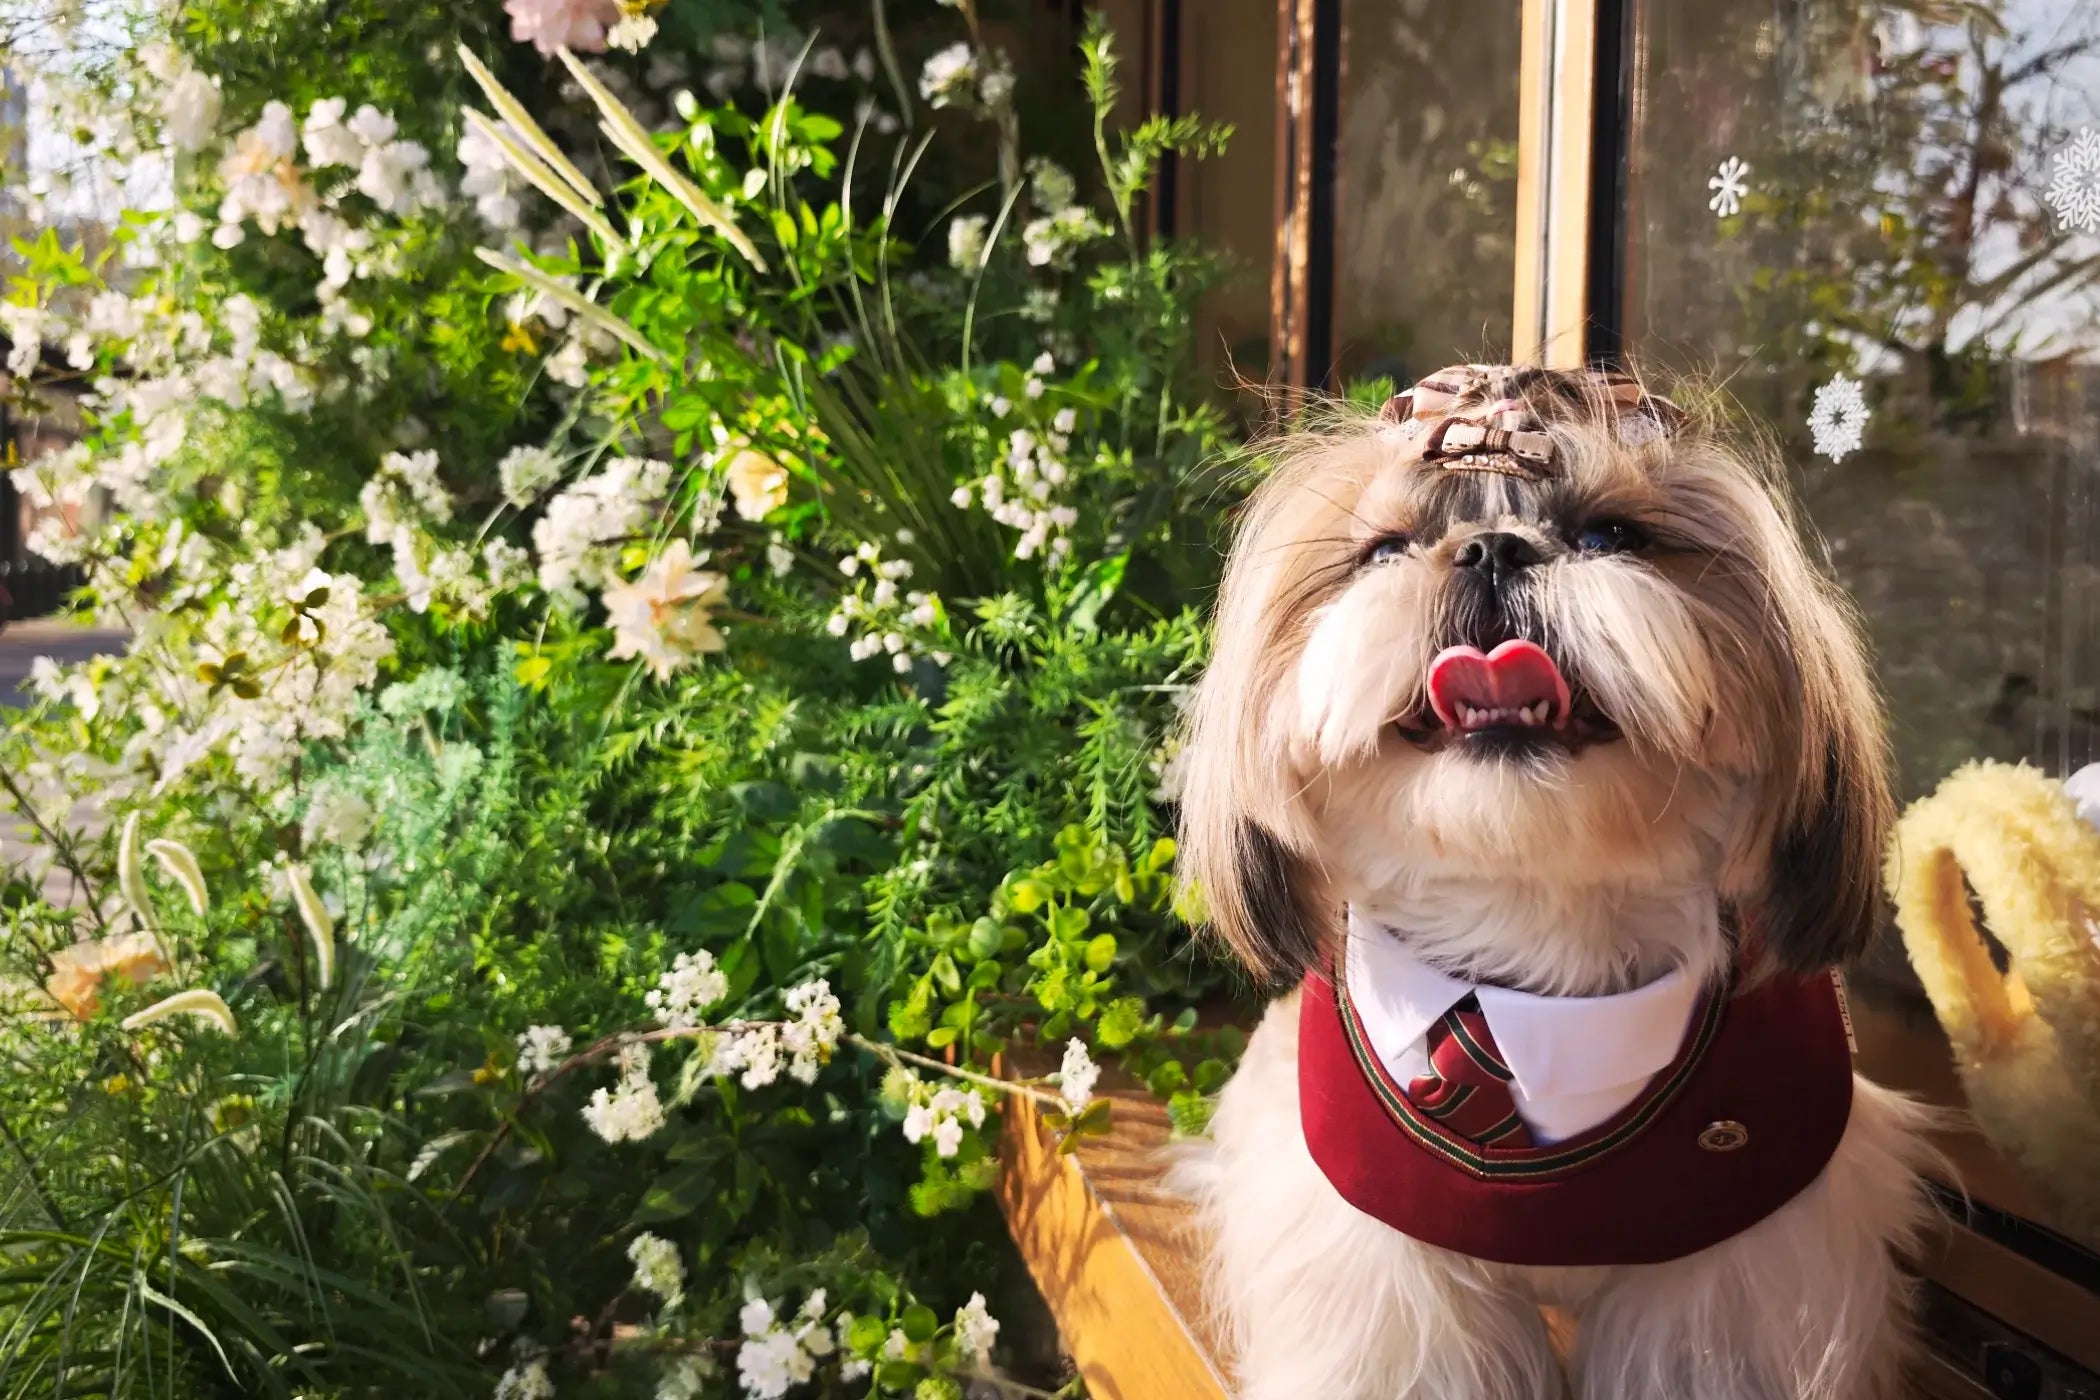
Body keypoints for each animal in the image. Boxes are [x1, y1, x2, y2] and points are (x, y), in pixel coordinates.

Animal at [1172, 364, 1939, 1399]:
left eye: (1613, 535)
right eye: (1384, 551)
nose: (1492, 548)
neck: (1531, 951)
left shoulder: (1743, 1256)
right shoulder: (1373, 1252)